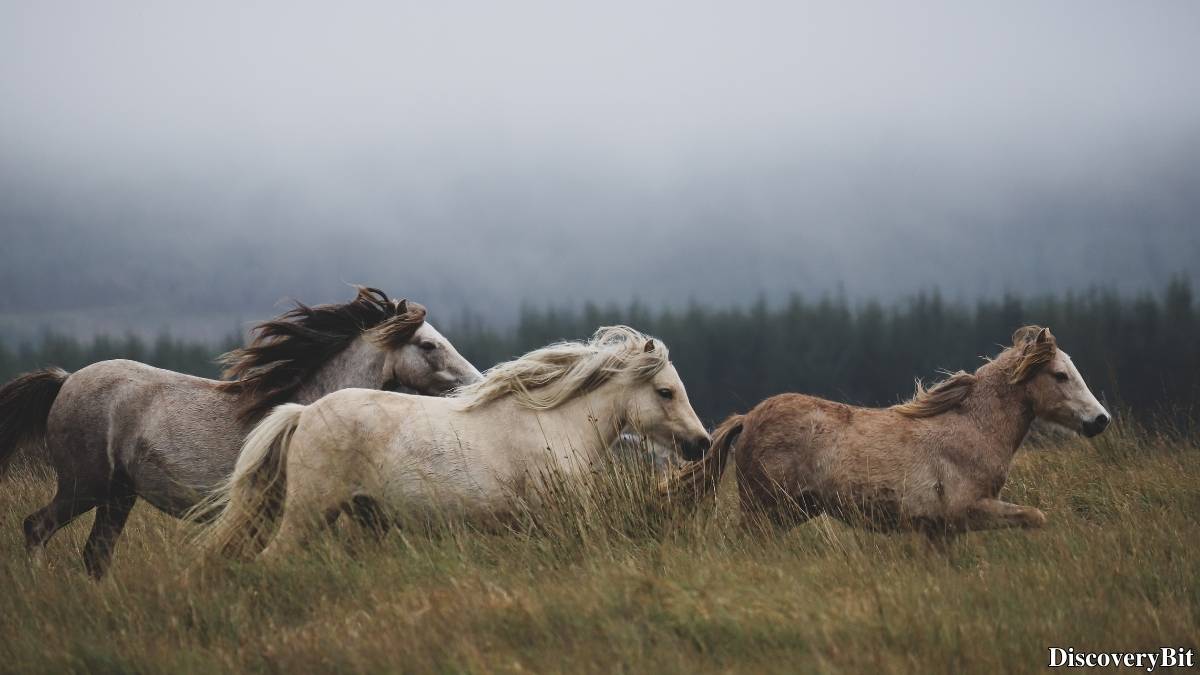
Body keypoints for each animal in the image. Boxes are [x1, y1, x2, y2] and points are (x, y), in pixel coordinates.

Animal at [0, 286, 482, 577]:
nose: (475, 383)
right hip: (85, 485)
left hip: (119, 495)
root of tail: (66, 380)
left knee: (96, 554)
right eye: (428, 345)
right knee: (37, 527)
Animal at [669, 326, 1110, 539]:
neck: (972, 429)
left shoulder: (939, 531)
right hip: (766, 510)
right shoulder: (967, 511)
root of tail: (748, 417)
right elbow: (1035, 517)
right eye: (1060, 375)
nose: (1100, 420)